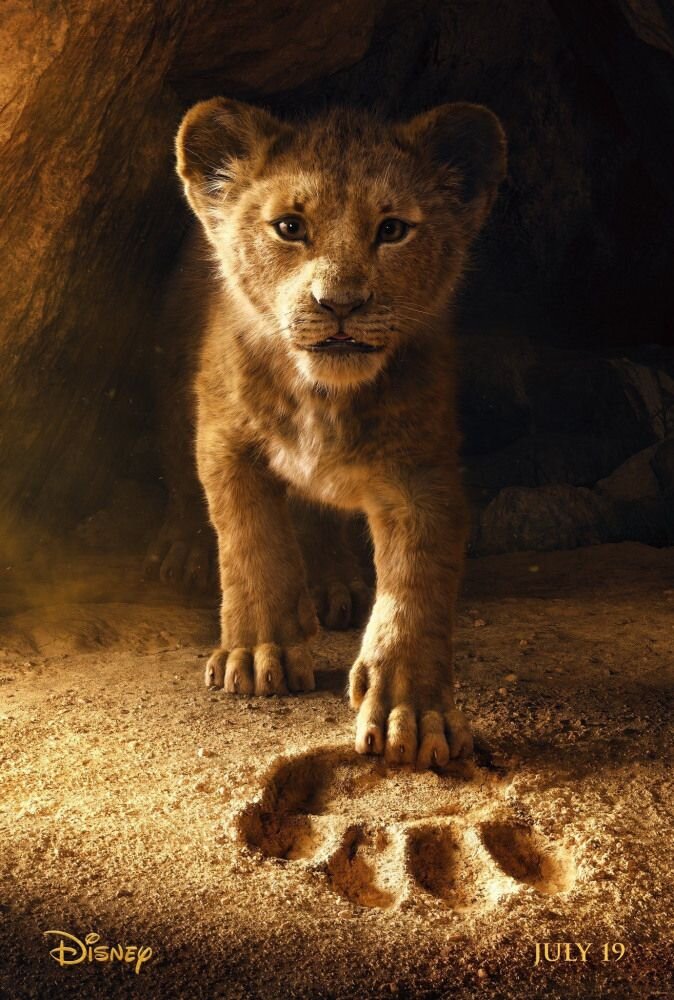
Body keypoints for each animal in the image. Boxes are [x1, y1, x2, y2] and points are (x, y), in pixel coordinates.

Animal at [151, 97, 506, 769]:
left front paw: (411, 712)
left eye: (392, 230)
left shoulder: (422, 473)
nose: (339, 303)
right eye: (289, 227)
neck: (324, 396)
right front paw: (258, 653)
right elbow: (251, 542)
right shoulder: (225, 439)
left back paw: (334, 583)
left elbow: (416, 586)